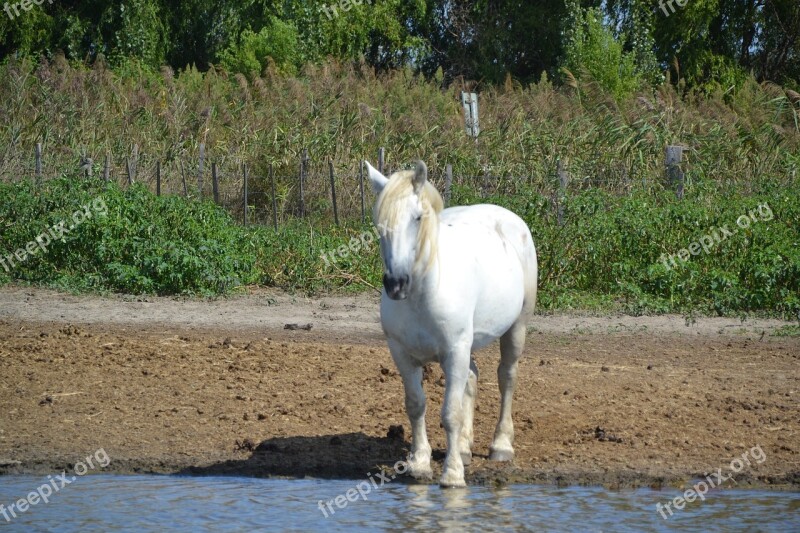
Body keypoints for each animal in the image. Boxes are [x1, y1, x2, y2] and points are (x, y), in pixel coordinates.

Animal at [366, 159, 536, 486]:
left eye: (417, 217)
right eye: (379, 224)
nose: (396, 284)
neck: (422, 296)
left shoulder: (455, 350)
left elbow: (450, 413)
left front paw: (453, 474)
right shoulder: (402, 353)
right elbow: (416, 405)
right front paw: (419, 464)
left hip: (516, 327)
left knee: (507, 377)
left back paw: (500, 446)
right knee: (472, 376)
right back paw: (466, 448)